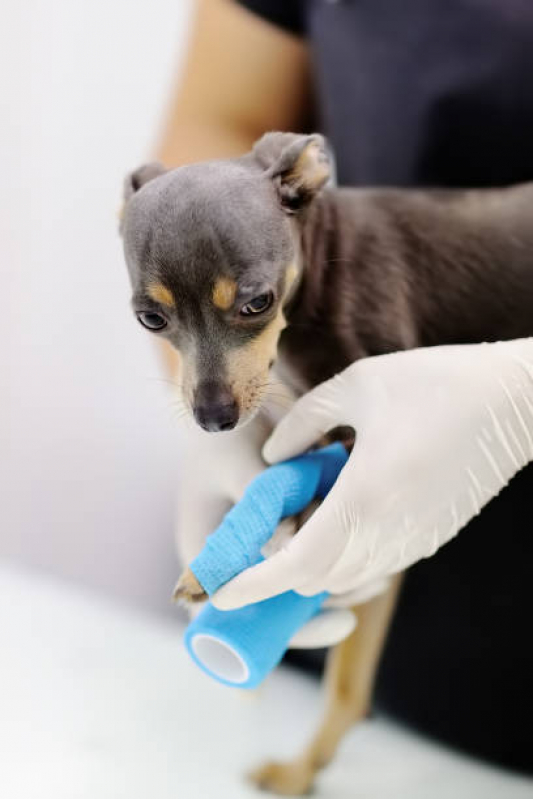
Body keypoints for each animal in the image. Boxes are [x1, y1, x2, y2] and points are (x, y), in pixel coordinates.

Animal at [119, 134, 532, 796]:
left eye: (256, 303)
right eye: (150, 320)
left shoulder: (370, 450)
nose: (213, 420)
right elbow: (347, 680)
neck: (317, 273)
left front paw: (211, 574)